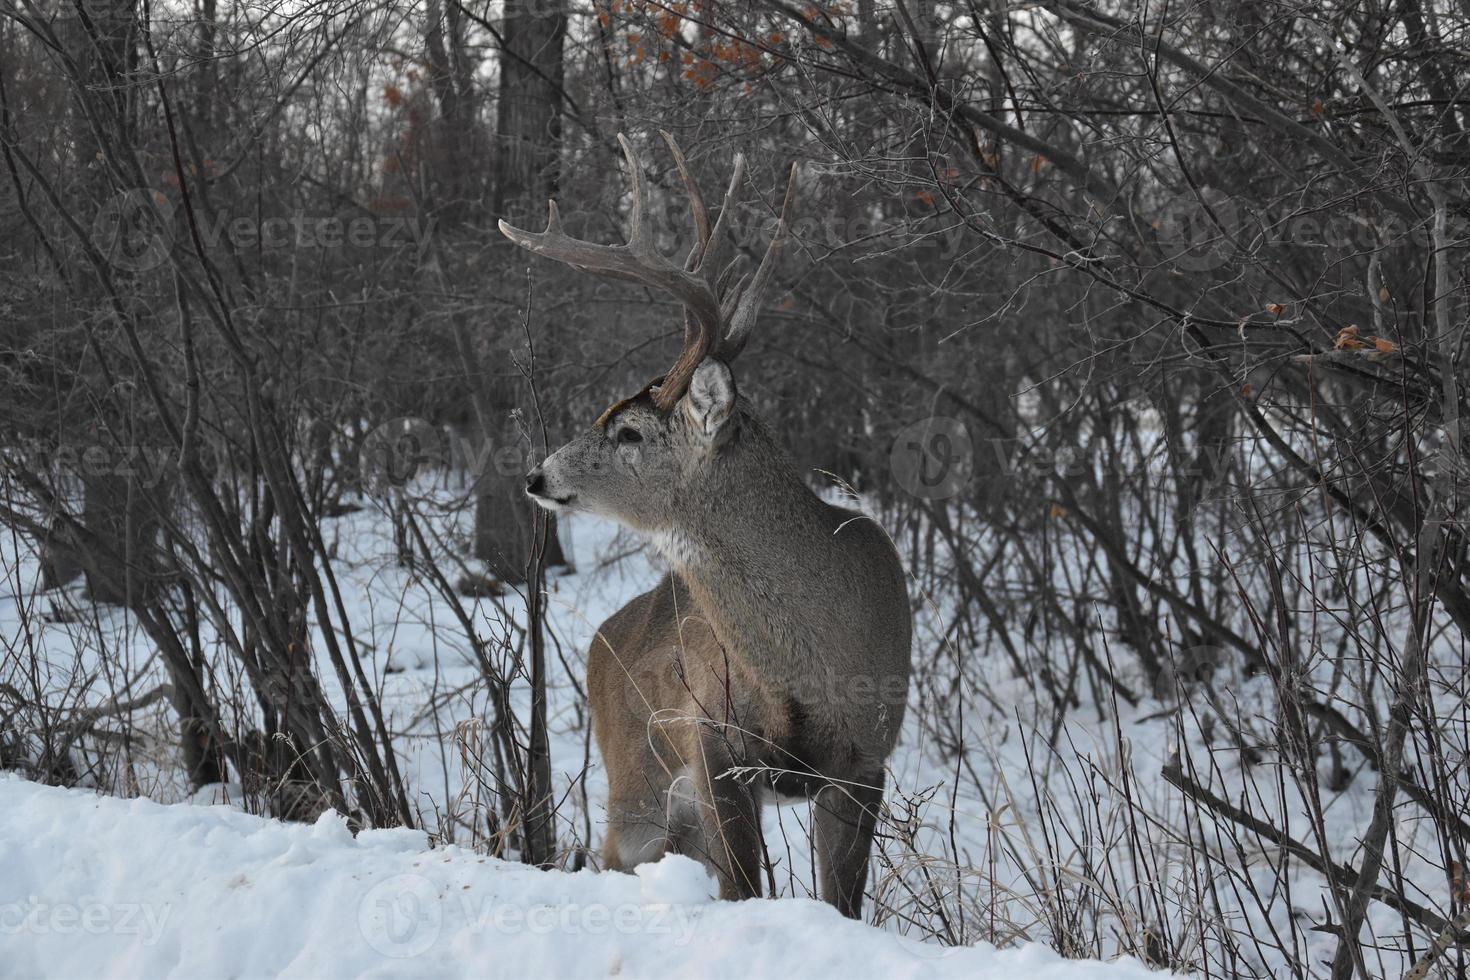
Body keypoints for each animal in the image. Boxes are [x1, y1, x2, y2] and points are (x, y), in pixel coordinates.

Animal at [508, 132, 917, 922]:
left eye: (629, 431)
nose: (538, 475)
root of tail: (602, 639)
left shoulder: (866, 762)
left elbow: (839, 902)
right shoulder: (714, 747)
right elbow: (744, 889)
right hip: (635, 779)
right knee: (608, 854)